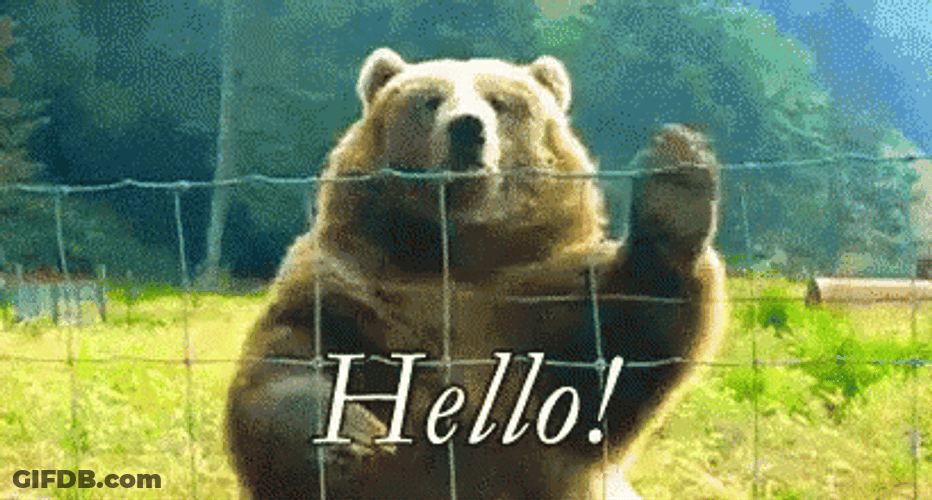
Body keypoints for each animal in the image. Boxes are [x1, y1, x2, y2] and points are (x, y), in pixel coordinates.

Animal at [226, 47, 726, 500]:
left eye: (500, 102)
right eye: (430, 99)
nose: (467, 127)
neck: (457, 255)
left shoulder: (546, 302)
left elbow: (623, 351)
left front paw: (675, 179)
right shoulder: (351, 291)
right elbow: (284, 367)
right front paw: (349, 434)